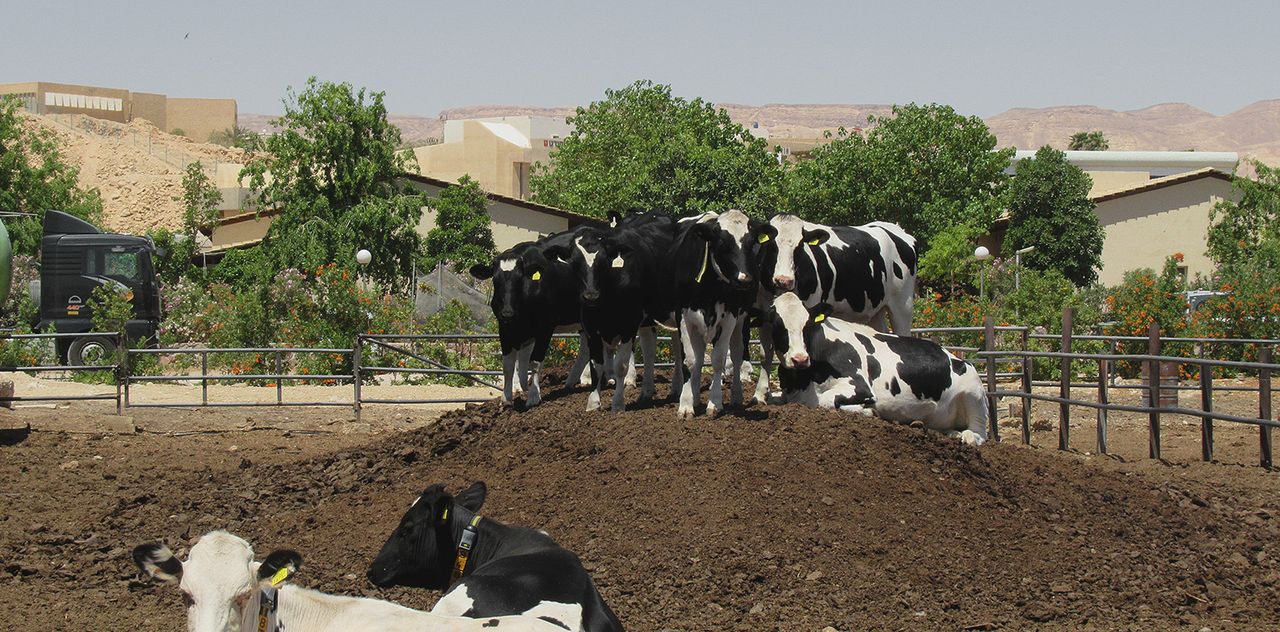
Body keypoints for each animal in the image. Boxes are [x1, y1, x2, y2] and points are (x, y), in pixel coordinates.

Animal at [672, 210, 773, 418]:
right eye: (722, 243)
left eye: (751, 243)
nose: (745, 279)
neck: (709, 289)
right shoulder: (683, 316)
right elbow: (691, 361)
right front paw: (686, 405)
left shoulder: (730, 317)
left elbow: (718, 359)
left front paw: (714, 403)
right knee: (699, 358)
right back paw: (695, 397)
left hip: (742, 322)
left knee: (736, 356)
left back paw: (736, 396)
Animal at [752, 214, 919, 403]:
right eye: (771, 244)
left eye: (800, 246)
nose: (784, 280)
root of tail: (896, 229)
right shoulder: (766, 313)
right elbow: (765, 354)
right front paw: (760, 394)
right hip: (877, 310)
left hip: (903, 304)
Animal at [767, 292, 987, 445]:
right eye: (777, 325)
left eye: (807, 325)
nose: (799, 358)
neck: (802, 380)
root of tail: (956, 357)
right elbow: (772, 398)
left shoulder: (859, 386)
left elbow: (823, 402)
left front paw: (865, 411)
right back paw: (946, 431)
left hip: (973, 392)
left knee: (980, 434)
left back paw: (966, 437)